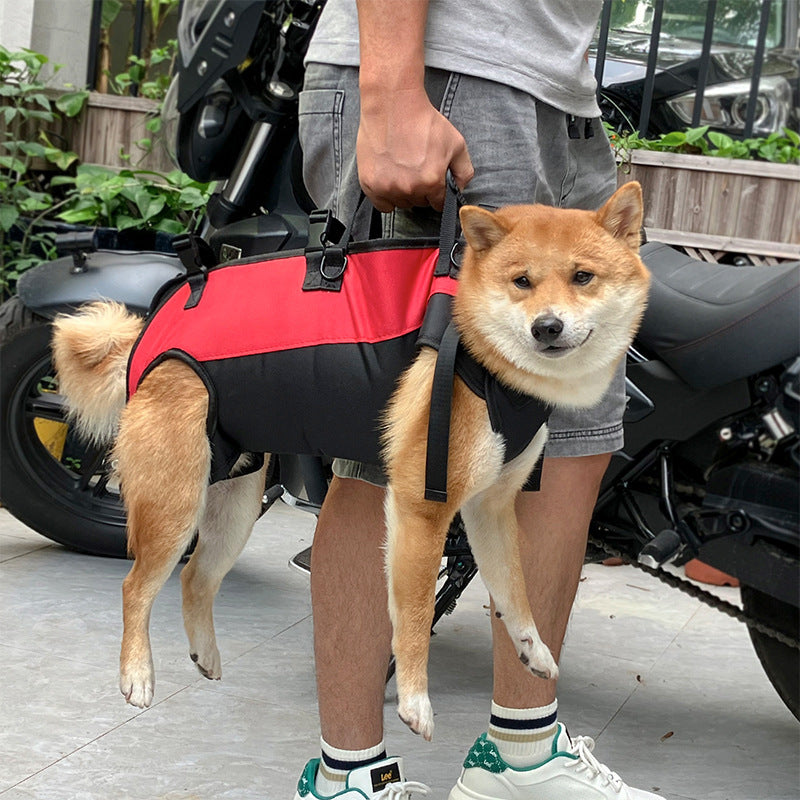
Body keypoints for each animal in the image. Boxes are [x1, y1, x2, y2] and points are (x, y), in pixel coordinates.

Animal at [50, 180, 648, 736]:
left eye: (583, 277)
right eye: (521, 281)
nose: (547, 327)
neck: (481, 354)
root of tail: (146, 339)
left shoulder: (492, 508)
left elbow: (514, 591)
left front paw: (532, 648)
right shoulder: (421, 509)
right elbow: (413, 617)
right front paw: (414, 700)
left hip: (234, 502)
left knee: (196, 577)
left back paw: (207, 655)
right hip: (175, 506)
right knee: (135, 586)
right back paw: (137, 675)